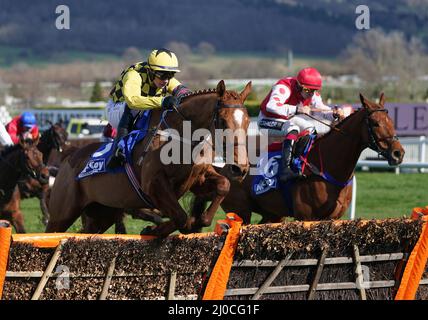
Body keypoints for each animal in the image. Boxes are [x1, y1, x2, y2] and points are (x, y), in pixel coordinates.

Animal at [45, 80, 252, 235]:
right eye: (222, 121)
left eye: (248, 121)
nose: (240, 168)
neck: (179, 138)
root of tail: (69, 156)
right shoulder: (153, 185)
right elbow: (182, 218)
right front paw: (153, 229)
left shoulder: (196, 179)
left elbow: (223, 186)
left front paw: (201, 219)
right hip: (62, 214)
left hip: (102, 214)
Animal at [190, 93, 404, 225]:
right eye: (375, 123)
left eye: (391, 121)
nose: (398, 153)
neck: (326, 166)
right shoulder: (305, 216)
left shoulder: (333, 218)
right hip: (240, 209)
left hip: (272, 214)